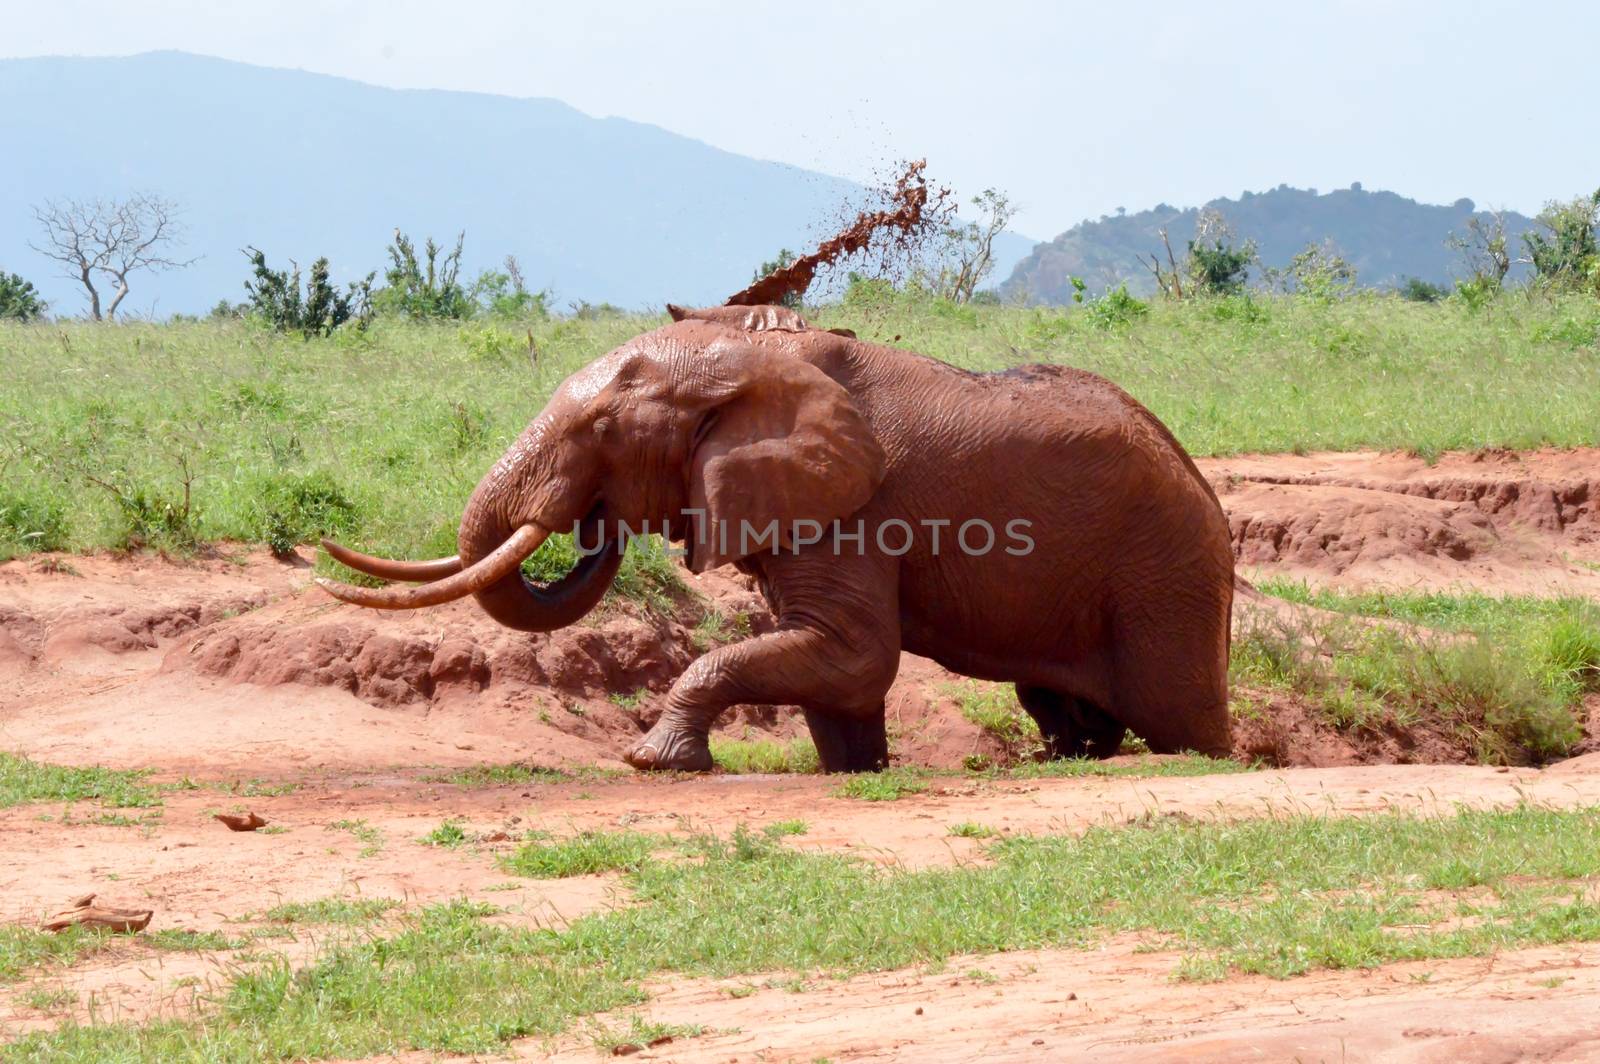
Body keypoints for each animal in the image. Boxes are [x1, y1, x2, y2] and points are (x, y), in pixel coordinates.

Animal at [315, 302, 1235, 768]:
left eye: (605, 431)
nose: (594, 518)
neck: (750, 360)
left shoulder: (856, 510)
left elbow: (855, 653)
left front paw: (654, 760)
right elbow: (840, 674)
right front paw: (855, 771)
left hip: (1166, 573)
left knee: (1177, 715)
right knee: (1055, 700)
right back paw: (1069, 758)